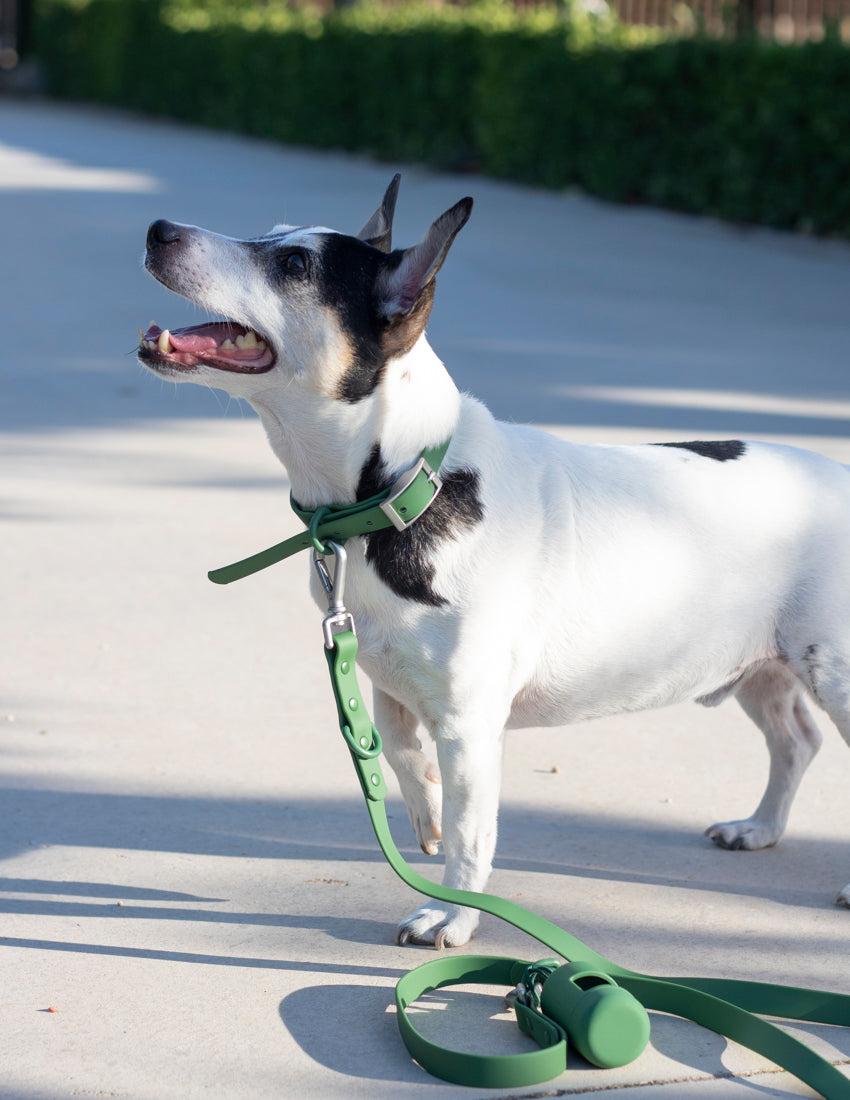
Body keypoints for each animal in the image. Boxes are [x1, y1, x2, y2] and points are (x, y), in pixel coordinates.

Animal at [139, 173, 850, 946]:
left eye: (296, 265)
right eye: (273, 235)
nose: (157, 230)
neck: (406, 485)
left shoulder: (470, 726)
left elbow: (470, 833)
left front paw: (452, 914)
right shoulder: (387, 683)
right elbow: (397, 750)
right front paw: (423, 808)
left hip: (836, 675)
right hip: (764, 667)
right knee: (796, 741)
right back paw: (761, 827)